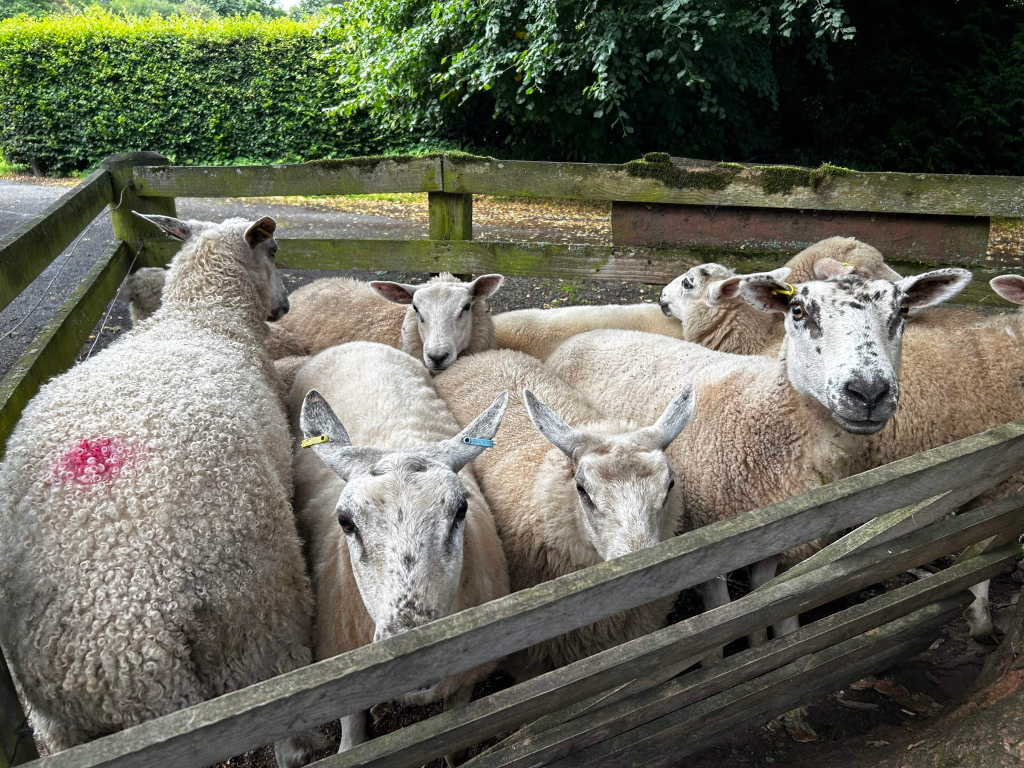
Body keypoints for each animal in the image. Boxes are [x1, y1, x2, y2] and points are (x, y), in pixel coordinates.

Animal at [0, 213, 319, 767]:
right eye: (275, 250)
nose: (284, 306)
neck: (203, 318)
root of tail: (129, 647)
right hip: (259, 616)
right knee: (289, 708)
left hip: (56, 723)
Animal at [290, 342, 510, 757]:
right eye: (345, 522)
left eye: (461, 509)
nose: (416, 656)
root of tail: (354, 343)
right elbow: (352, 742)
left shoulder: (466, 677)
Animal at [546, 267, 971, 647]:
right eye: (798, 310)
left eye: (903, 310)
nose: (868, 393)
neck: (763, 416)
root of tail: (585, 334)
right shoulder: (703, 540)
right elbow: (721, 613)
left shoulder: (773, 537)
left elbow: (768, 600)